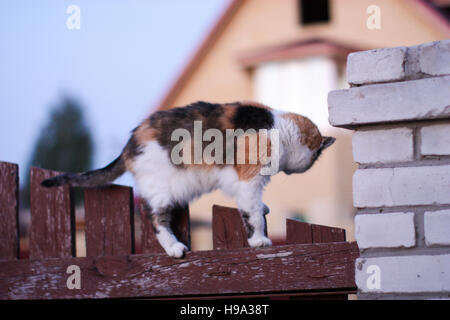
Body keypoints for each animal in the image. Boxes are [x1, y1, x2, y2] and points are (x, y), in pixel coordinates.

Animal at [41, 101, 334, 258]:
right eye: (314, 158)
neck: (279, 127)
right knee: (154, 219)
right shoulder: (249, 179)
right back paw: (174, 247)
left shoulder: (241, 183)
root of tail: (129, 144)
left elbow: (252, 206)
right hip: (160, 191)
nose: (306, 167)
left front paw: (263, 210)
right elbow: (251, 213)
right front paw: (259, 240)